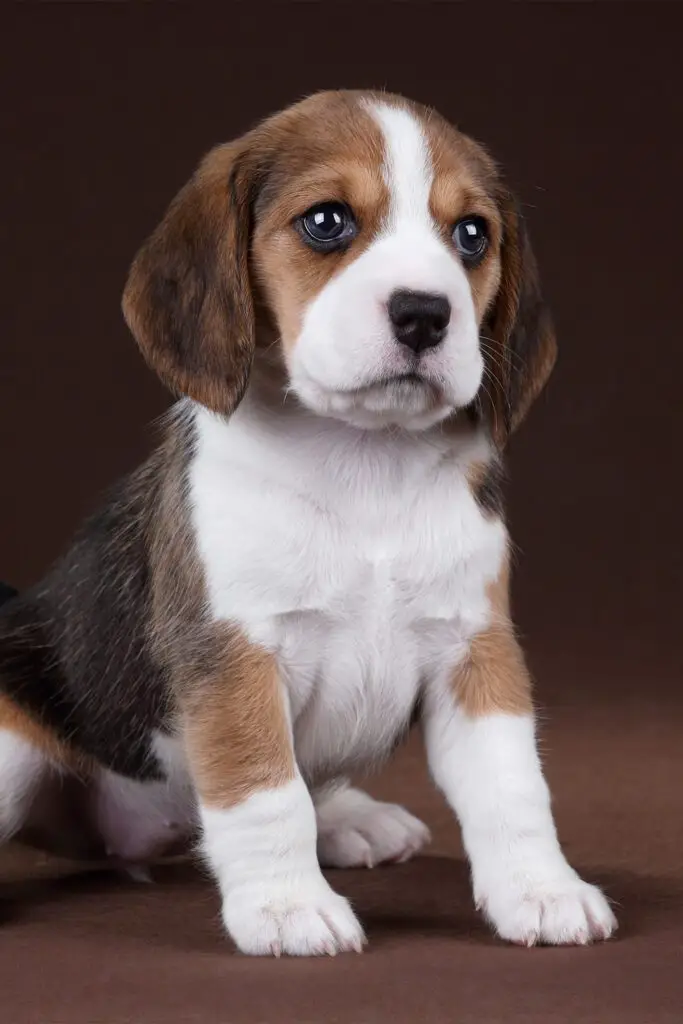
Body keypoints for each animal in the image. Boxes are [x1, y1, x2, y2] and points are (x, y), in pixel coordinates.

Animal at [0, 90, 618, 958]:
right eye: (326, 221)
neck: (363, 464)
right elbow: (266, 789)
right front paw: (287, 906)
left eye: (471, 234)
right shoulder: (236, 657)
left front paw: (538, 888)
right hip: (13, 739)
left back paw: (351, 816)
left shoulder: (476, 649)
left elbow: (512, 786)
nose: (425, 315)